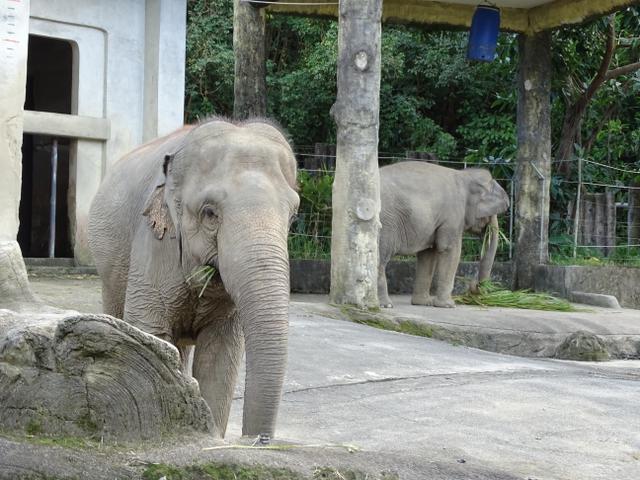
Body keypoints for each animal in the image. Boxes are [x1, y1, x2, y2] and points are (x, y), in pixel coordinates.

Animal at [88, 118, 299, 440]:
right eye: (210, 213)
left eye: (293, 216)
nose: (259, 441)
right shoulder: (154, 243)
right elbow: (151, 333)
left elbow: (220, 358)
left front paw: (208, 434)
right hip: (110, 272)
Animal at [377, 161, 509, 309]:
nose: (473, 285)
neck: (464, 175)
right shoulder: (452, 214)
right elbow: (450, 250)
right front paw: (448, 305)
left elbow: (429, 254)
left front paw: (424, 303)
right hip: (386, 222)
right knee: (381, 257)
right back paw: (385, 305)